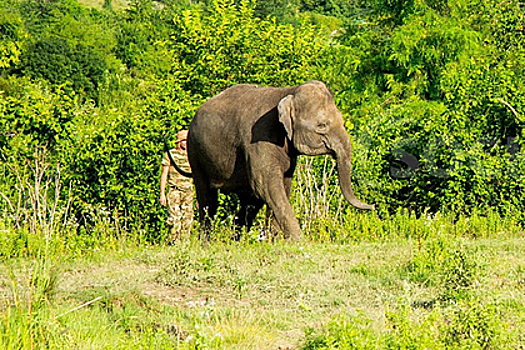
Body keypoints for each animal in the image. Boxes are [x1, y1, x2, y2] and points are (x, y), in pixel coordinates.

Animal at [174, 80, 374, 239]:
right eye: (322, 126)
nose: (372, 206)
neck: (287, 92)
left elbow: (283, 186)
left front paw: (277, 240)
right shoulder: (258, 138)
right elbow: (266, 185)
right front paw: (298, 242)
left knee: (249, 203)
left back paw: (236, 241)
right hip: (196, 153)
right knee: (208, 200)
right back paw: (206, 242)